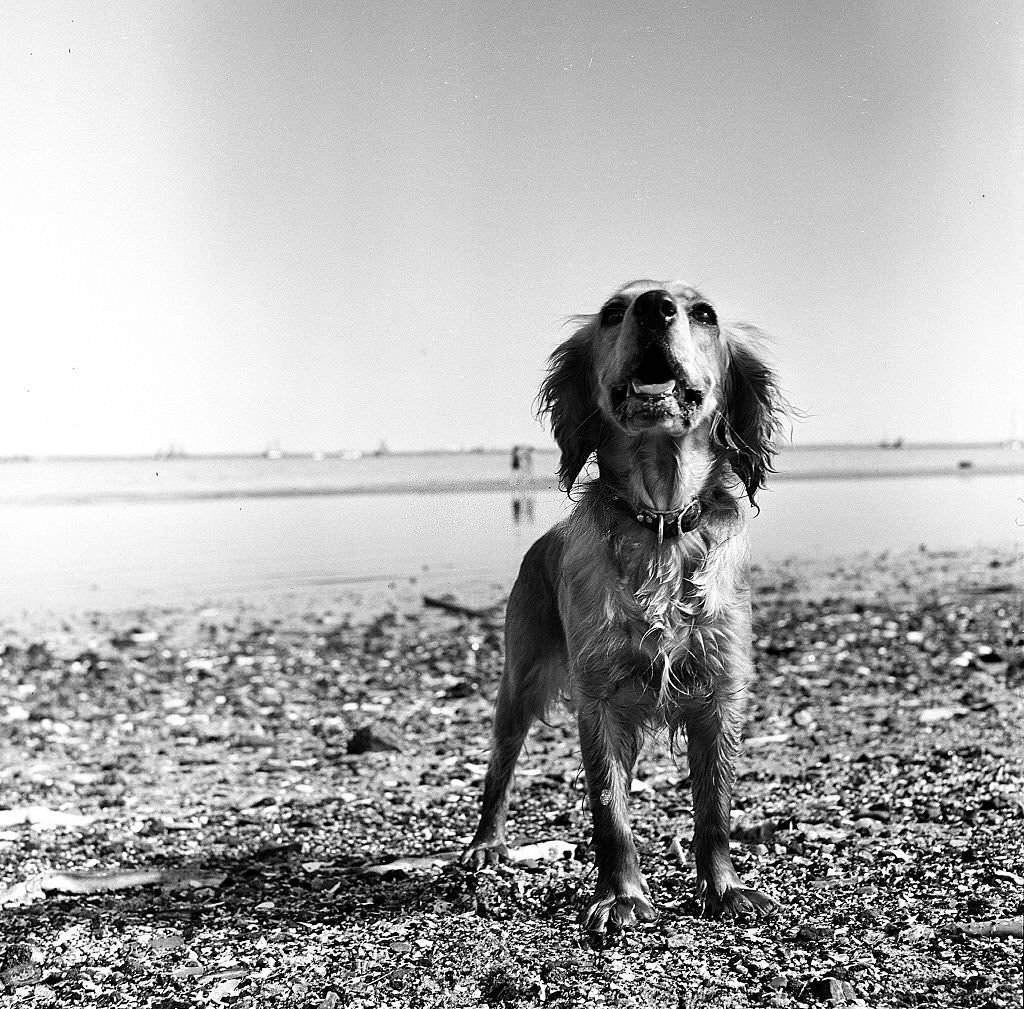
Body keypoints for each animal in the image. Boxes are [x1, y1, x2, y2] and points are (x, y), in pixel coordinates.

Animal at [464, 278, 782, 934]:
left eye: (704, 313)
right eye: (613, 312)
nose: (655, 306)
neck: (660, 522)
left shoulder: (720, 694)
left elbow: (714, 812)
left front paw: (726, 889)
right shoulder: (600, 698)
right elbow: (609, 812)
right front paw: (621, 896)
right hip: (520, 680)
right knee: (500, 768)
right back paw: (486, 844)